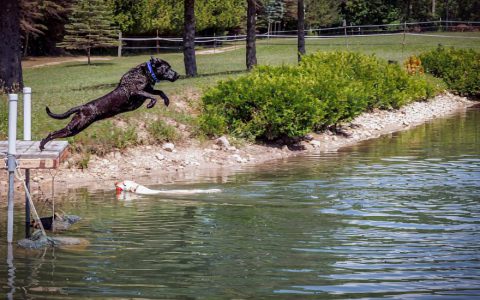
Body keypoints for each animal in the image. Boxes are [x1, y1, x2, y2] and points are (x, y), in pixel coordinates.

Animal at [39, 56, 180, 150]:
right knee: (53, 133)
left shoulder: (148, 89)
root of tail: (81, 107)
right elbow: (153, 96)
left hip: (75, 129)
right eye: (167, 68)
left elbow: (160, 92)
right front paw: (151, 104)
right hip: (75, 126)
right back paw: (42, 145)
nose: (178, 75)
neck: (146, 73)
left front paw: (166, 101)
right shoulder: (135, 91)